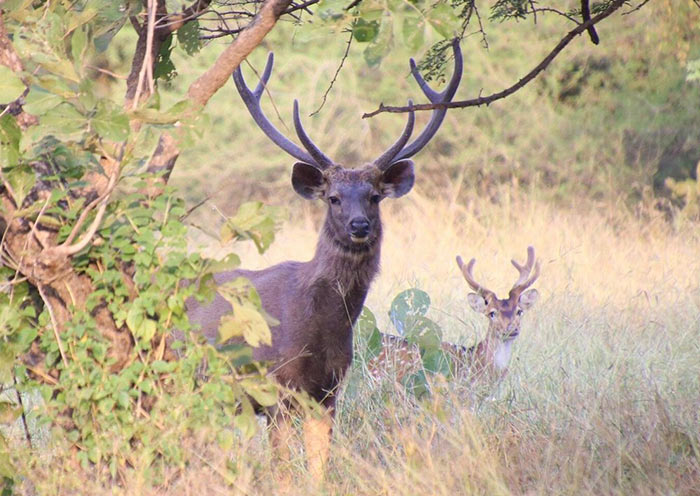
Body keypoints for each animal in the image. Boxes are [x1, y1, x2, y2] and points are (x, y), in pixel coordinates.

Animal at [185, 39, 463, 480]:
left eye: (374, 196)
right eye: (333, 197)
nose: (359, 225)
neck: (317, 324)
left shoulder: (328, 395)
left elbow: (319, 471)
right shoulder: (275, 389)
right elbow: (283, 472)